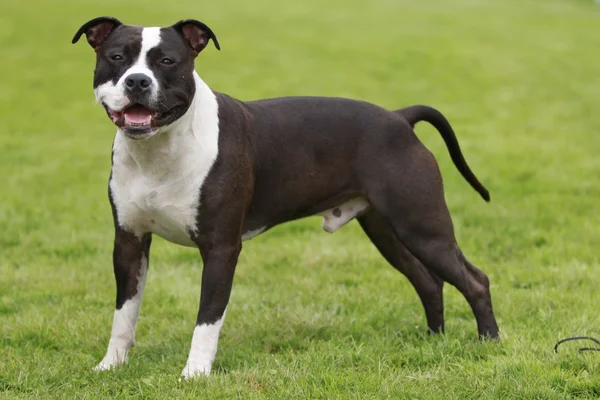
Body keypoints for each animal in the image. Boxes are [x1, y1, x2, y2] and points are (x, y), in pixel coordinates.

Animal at [71, 15, 502, 378]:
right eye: (116, 57)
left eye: (166, 61)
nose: (137, 82)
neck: (159, 151)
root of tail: (400, 117)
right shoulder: (129, 242)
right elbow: (124, 314)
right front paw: (110, 366)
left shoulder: (221, 249)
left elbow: (207, 319)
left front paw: (195, 373)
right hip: (388, 231)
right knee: (428, 281)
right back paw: (434, 340)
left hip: (423, 228)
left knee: (474, 280)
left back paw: (489, 343)